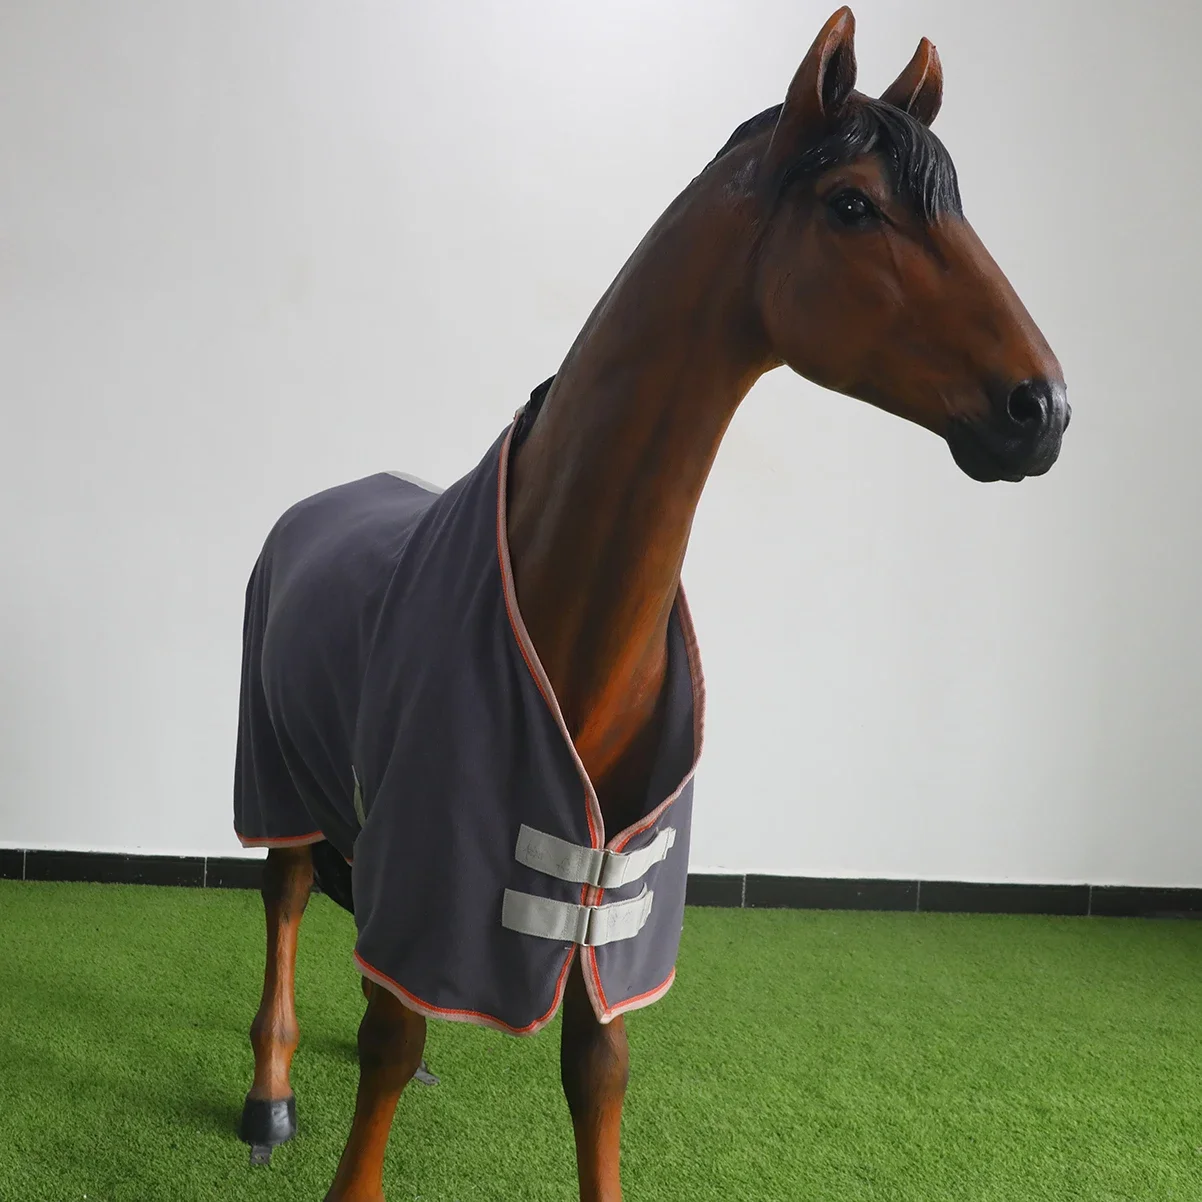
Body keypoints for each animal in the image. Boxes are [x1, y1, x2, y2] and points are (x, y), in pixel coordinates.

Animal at [230, 8, 1069, 1200]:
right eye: (851, 205)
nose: (1041, 408)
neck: (569, 599)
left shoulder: (613, 885)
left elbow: (597, 1067)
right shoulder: (435, 852)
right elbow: (388, 1041)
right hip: (279, 774)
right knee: (289, 896)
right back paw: (268, 1092)